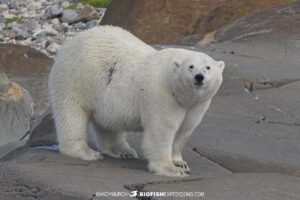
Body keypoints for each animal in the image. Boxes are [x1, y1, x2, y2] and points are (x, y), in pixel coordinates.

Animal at [48, 25, 224, 177]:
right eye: (191, 67)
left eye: (208, 67)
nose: (199, 77)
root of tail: (70, 42)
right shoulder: (161, 95)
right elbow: (161, 131)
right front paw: (171, 169)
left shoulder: (196, 105)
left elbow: (184, 130)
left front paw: (180, 162)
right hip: (75, 79)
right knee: (72, 115)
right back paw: (86, 152)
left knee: (109, 123)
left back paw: (122, 151)